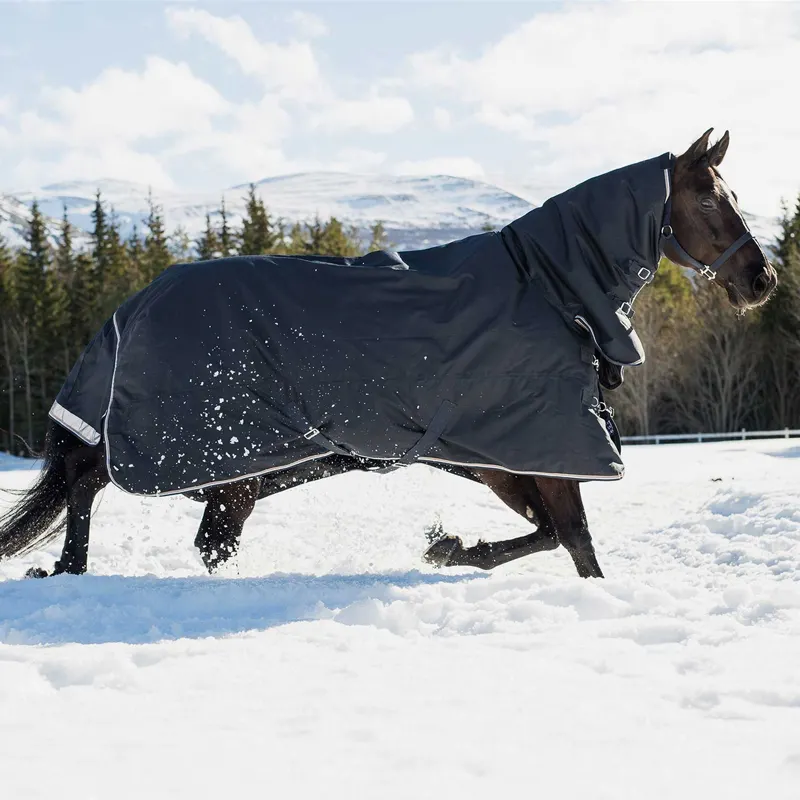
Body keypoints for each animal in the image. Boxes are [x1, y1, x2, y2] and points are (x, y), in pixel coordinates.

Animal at [0, 129, 777, 581]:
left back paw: (70, 568)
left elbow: (552, 537)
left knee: (137, 507)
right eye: (711, 200)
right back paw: (72, 568)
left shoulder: (499, 458)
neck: (550, 287)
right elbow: (576, 543)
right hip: (211, 458)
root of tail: (132, 305)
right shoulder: (538, 449)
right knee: (103, 488)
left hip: (241, 470)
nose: (761, 279)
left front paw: (451, 547)